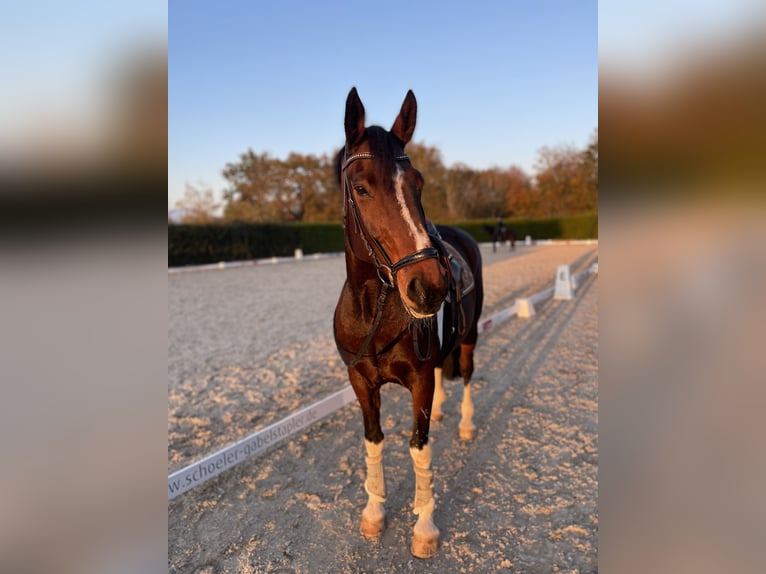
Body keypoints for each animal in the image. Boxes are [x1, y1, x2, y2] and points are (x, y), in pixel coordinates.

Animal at [332, 88, 486, 560]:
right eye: (361, 187)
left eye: (417, 183)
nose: (429, 286)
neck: (375, 310)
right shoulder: (361, 381)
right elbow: (374, 441)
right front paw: (374, 512)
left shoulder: (418, 379)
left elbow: (419, 448)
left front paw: (425, 526)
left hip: (470, 336)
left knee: (466, 373)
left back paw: (465, 423)